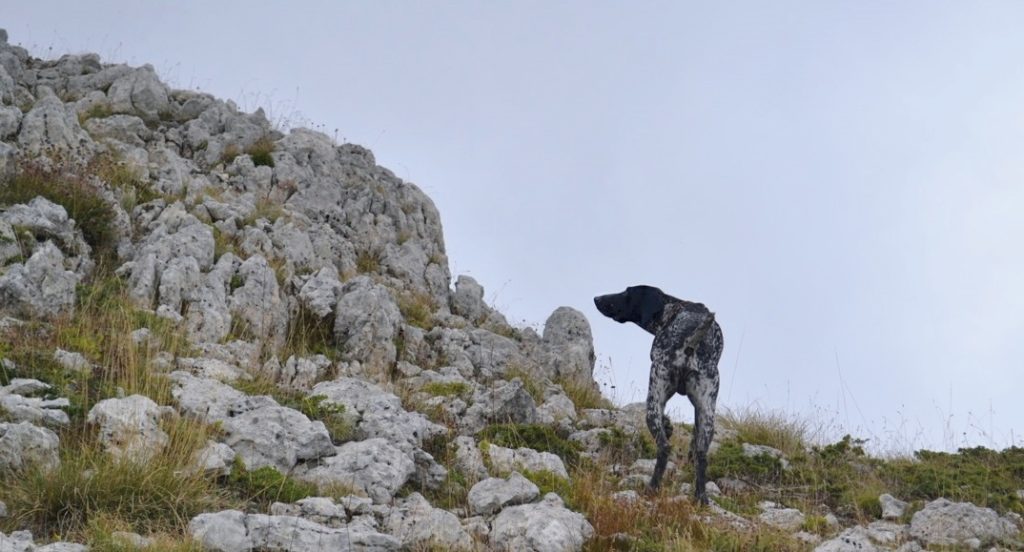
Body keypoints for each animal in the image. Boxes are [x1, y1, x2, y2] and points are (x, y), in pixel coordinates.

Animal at [589, 284, 724, 505]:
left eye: (627, 292)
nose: (597, 298)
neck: (672, 308)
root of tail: (690, 343)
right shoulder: (700, 410)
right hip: (707, 414)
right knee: (701, 455)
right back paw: (701, 497)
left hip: (653, 399)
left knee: (664, 448)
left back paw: (652, 486)